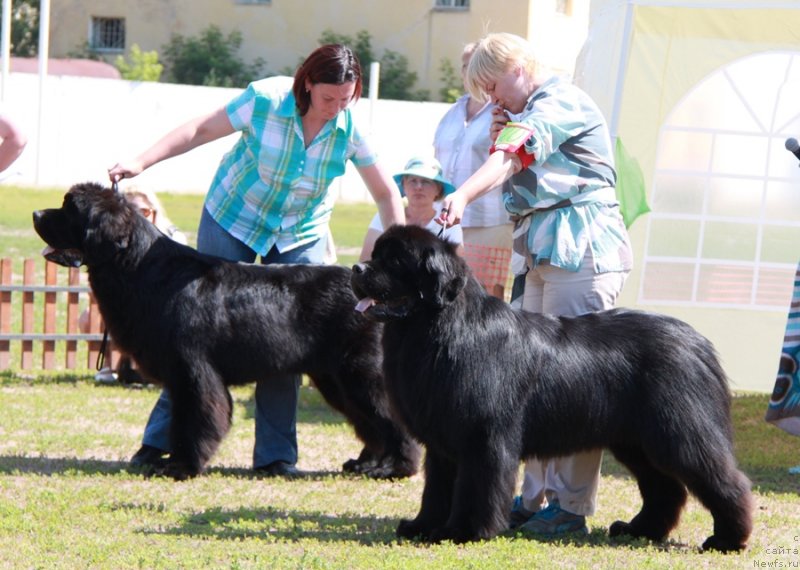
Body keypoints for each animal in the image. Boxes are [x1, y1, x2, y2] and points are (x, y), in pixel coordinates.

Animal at [32, 181, 418, 480]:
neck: (139, 266)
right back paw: (366, 463)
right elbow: (179, 421)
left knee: (388, 417)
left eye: (69, 209)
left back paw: (395, 469)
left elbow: (197, 419)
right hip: (335, 379)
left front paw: (183, 467)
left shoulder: (194, 372)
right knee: (369, 422)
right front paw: (170, 461)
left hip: (359, 372)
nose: (36, 214)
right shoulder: (179, 376)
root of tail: (374, 297)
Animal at [348, 225, 752, 552]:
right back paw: (639, 530)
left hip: (679, 433)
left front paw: (462, 532)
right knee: (665, 488)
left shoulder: (483, 439)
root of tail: (699, 342)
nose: (357, 268)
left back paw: (727, 540)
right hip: (636, 441)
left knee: (722, 480)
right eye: (376, 254)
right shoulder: (443, 441)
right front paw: (422, 526)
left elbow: (475, 487)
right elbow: (436, 489)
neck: (440, 330)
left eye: (395, 260)